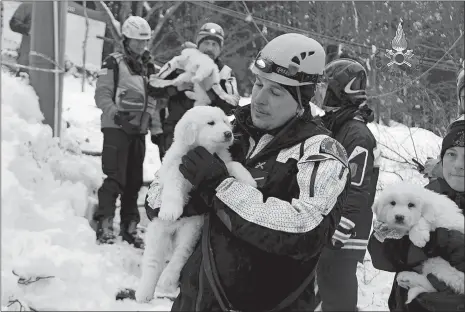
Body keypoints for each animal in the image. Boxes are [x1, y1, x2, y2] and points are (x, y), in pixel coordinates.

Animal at [134, 105, 256, 302]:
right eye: (211, 123)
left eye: (225, 121)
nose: (229, 133)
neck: (205, 151)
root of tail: (173, 232)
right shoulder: (176, 169)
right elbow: (172, 188)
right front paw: (170, 211)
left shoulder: (221, 162)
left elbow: (234, 165)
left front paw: (249, 180)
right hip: (157, 232)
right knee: (153, 261)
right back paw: (144, 292)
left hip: (191, 229)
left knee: (180, 254)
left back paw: (168, 280)